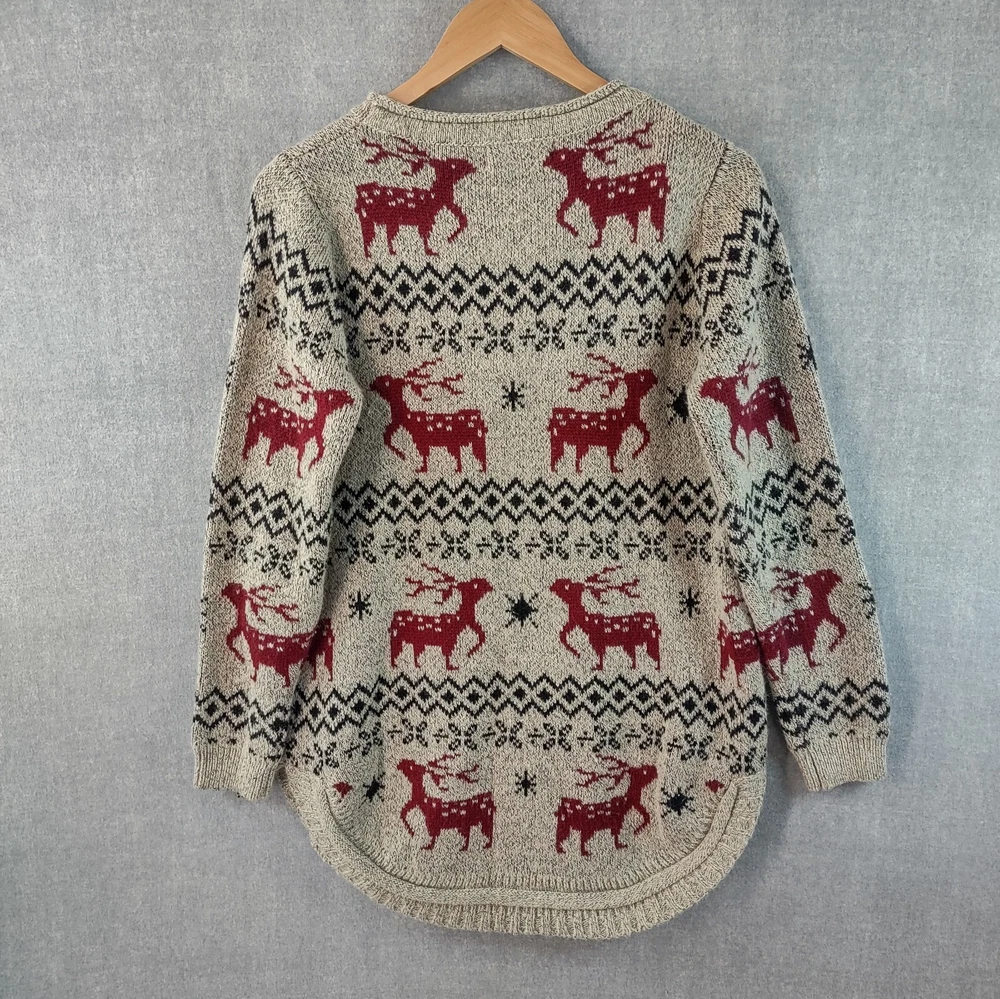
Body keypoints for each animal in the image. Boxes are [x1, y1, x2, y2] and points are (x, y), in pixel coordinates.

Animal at [543, 108, 670, 249]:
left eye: (563, 156)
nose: (546, 160)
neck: (588, 189)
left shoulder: (599, 211)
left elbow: (600, 228)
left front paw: (594, 243)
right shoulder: (627, 210)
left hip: (658, 201)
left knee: (658, 221)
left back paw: (657, 239)